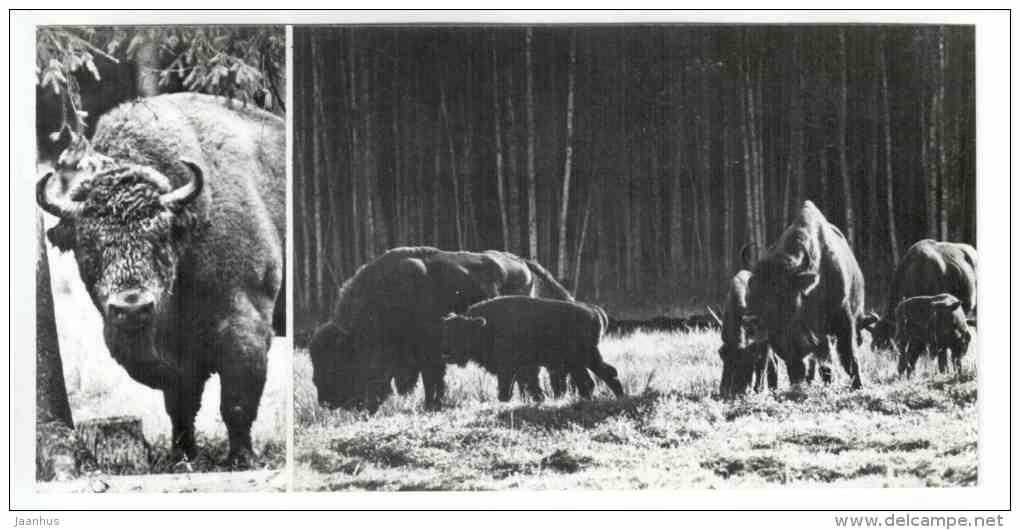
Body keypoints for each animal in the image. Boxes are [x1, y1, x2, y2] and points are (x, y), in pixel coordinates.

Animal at [36, 93, 284, 467]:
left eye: (159, 238)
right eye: (88, 245)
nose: (131, 307)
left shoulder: (246, 322)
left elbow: (236, 401)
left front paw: (241, 458)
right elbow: (180, 403)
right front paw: (182, 454)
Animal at [308, 247, 574, 411]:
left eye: (339, 361)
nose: (327, 401)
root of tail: (522, 263)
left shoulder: (430, 354)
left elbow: (432, 380)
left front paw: (431, 405)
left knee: (528, 371)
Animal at [440, 296, 625, 401]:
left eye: (462, 334)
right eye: (447, 332)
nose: (446, 354)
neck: (485, 326)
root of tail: (595, 312)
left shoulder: (510, 369)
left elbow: (508, 389)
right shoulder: (523, 369)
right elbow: (528, 386)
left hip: (579, 361)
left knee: (592, 379)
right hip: (586, 359)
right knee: (605, 373)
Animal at [745, 200, 866, 390]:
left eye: (780, 290)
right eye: (752, 285)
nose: (752, 321)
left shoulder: (843, 318)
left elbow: (848, 355)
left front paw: (857, 386)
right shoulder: (790, 338)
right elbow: (798, 364)